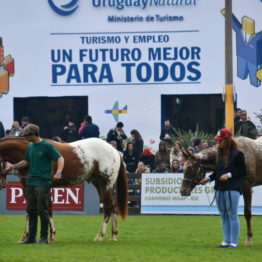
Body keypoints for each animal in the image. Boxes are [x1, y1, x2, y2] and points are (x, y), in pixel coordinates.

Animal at [0, 137, 128, 242]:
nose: (3, 184)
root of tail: (114, 150)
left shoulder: (44, 187)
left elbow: (48, 209)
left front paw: (51, 235)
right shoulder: (27, 188)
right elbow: (29, 210)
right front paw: (25, 236)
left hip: (106, 184)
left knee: (107, 208)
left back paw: (100, 235)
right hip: (99, 184)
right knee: (112, 206)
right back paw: (113, 234)